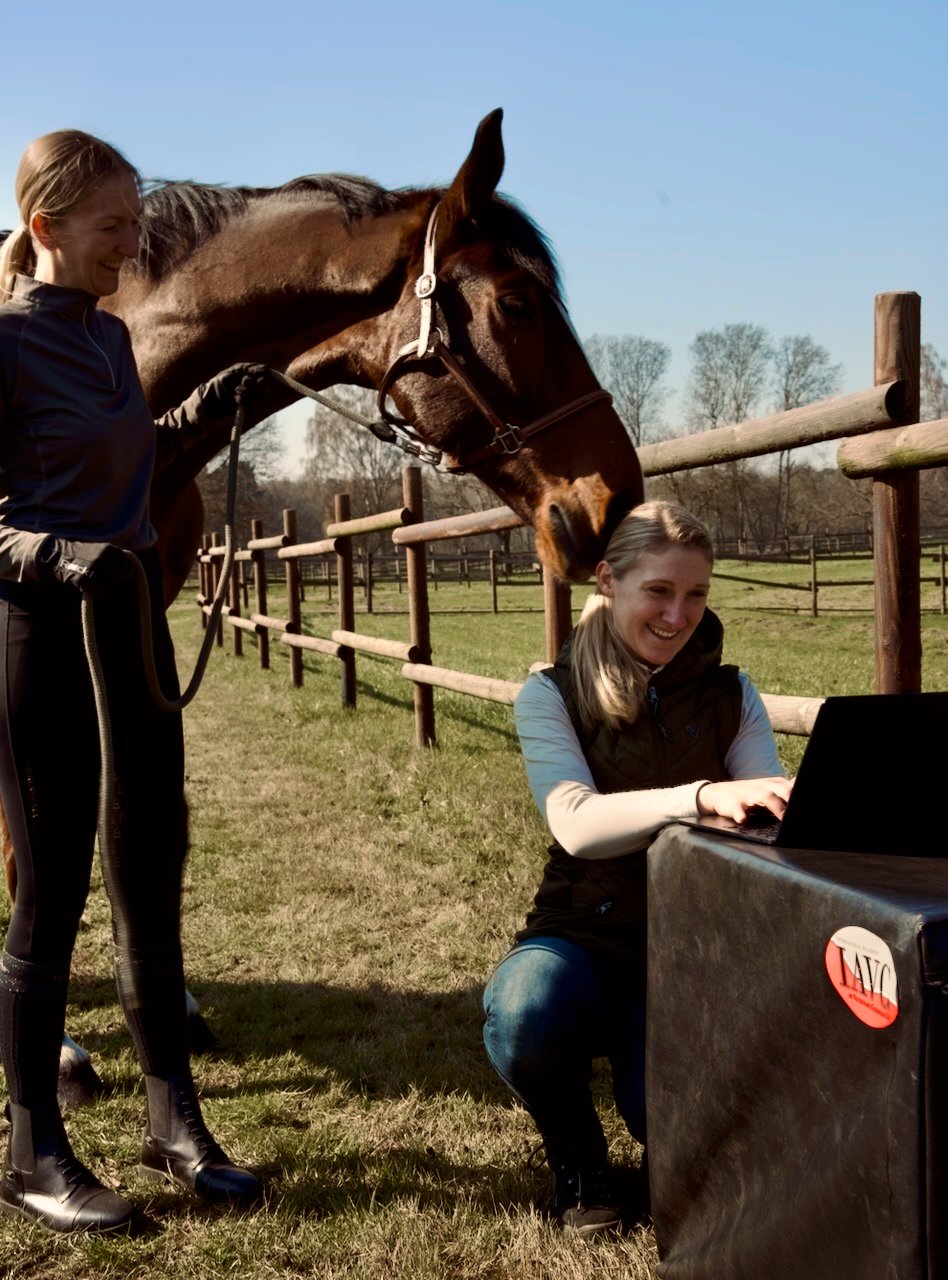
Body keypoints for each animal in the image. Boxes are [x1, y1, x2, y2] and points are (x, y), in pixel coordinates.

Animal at [2, 108, 644, 1103]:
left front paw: (171, 1005)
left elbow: (150, 825)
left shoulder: (142, 630)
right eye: (515, 305)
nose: (615, 497)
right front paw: (60, 1051)